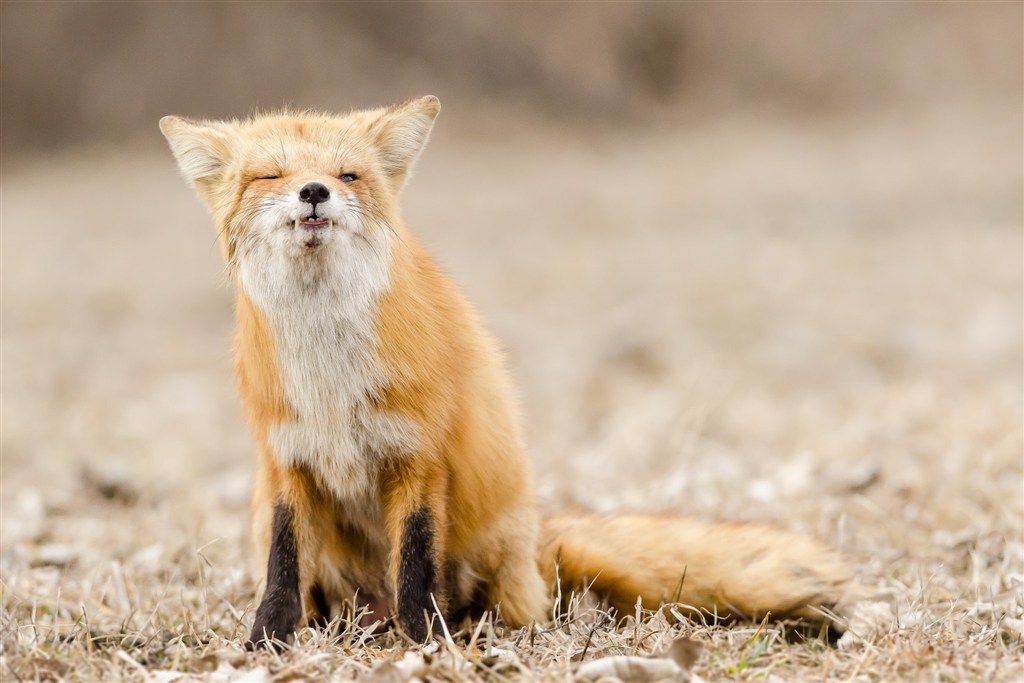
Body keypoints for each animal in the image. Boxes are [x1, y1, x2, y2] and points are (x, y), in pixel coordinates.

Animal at [157, 94, 847, 647]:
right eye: (270, 174)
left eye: (346, 174)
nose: (313, 192)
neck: (330, 375)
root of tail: (536, 531)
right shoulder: (286, 460)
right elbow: (282, 570)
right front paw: (266, 645)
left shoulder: (419, 457)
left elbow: (415, 567)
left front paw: (427, 645)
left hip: (499, 556)